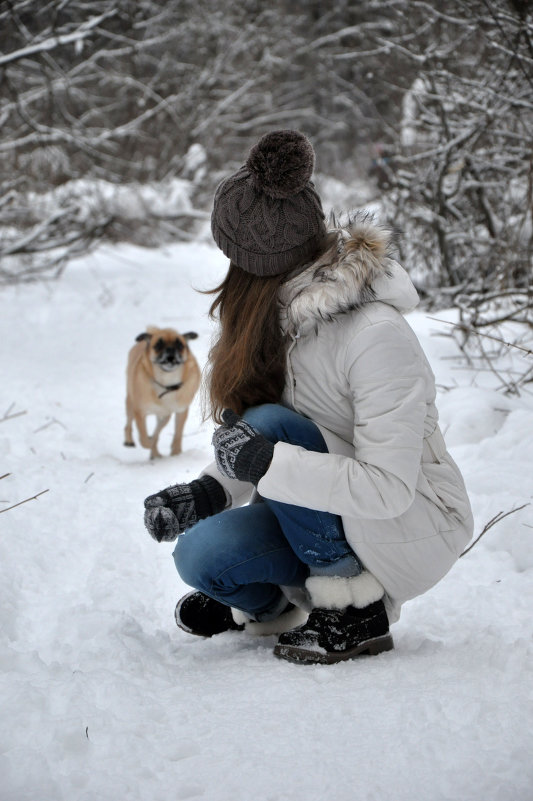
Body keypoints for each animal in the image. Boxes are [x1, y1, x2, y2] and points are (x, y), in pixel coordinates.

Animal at [123, 324, 201, 460]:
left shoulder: (180, 411)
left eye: (180, 345)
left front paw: (176, 453)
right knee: (128, 423)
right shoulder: (140, 412)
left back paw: (155, 452)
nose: (170, 349)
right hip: (131, 402)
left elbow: (177, 434)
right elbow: (144, 437)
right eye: (158, 345)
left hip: (165, 416)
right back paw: (130, 441)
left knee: (158, 430)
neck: (167, 383)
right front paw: (148, 442)